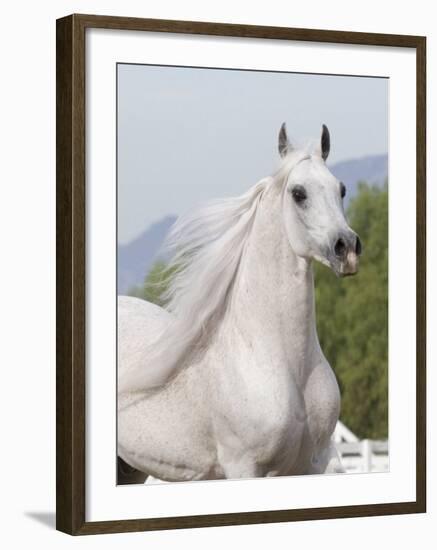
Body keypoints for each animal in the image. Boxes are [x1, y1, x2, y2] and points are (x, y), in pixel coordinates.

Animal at [116, 124, 362, 484]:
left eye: (341, 189)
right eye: (298, 193)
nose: (348, 249)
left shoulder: (315, 463)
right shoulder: (244, 466)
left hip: (130, 466)